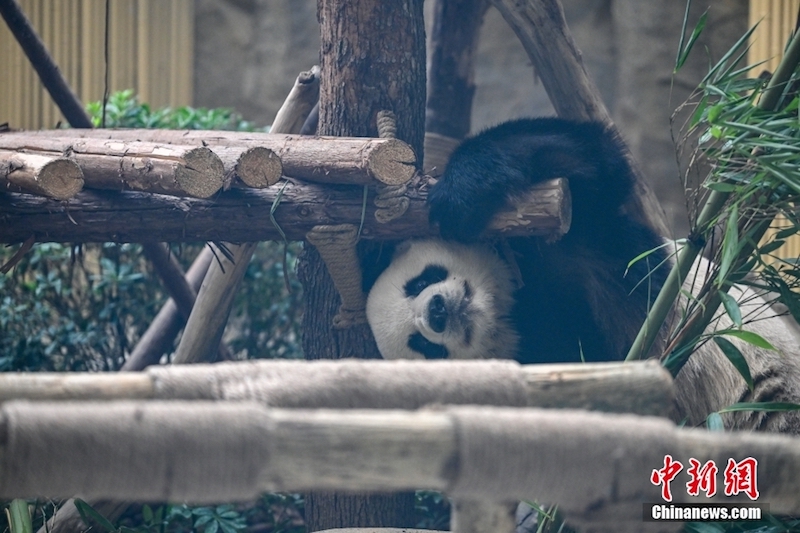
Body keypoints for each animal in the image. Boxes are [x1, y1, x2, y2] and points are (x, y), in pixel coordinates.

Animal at [365, 117, 800, 433]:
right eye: (424, 345)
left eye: (419, 282)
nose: (437, 311)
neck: (509, 299)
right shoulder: (544, 359)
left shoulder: (586, 231)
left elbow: (591, 160)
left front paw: (458, 198)